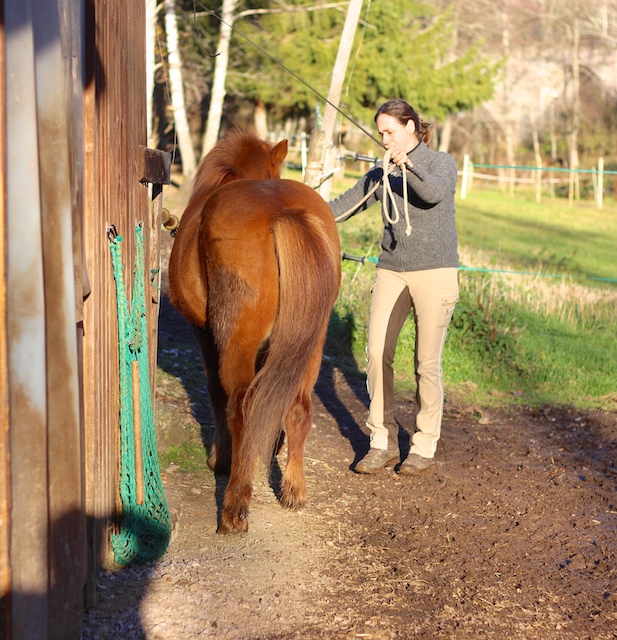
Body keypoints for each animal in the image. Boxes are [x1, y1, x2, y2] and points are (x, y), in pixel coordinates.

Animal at [167, 127, 342, 532]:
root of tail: (282, 211)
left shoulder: (206, 336)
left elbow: (216, 392)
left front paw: (221, 458)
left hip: (238, 341)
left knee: (241, 404)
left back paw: (234, 505)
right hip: (312, 342)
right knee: (298, 405)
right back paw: (293, 490)